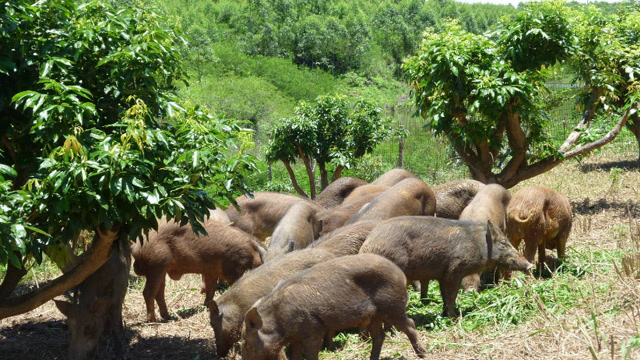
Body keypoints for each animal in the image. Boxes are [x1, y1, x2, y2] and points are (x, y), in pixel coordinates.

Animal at [54, 231, 131, 360]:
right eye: (69, 328)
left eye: (89, 327)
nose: (73, 357)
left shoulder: (119, 286)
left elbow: (115, 317)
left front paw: (121, 352)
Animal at [132, 219, 262, 324]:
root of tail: (137, 248)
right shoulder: (233, 269)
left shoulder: (211, 272)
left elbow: (211, 290)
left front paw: (207, 305)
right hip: (157, 265)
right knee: (148, 293)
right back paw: (153, 322)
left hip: (162, 269)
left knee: (159, 293)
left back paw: (168, 317)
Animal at [240, 253, 424, 360]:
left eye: (247, 345)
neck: (279, 320)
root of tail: (399, 273)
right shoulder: (297, 338)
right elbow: (295, 355)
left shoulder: (313, 329)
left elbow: (311, 354)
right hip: (374, 315)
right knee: (379, 336)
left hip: (392, 306)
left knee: (410, 325)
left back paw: (422, 354)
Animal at [358, 215, 532, 316]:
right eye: (503, 242)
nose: (529, 265)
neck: (479, 245)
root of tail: (367, 245)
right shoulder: (454, 270)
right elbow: (451, 294)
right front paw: (454, 317)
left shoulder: (442, 275)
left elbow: (444, 295)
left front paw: (444, 314)